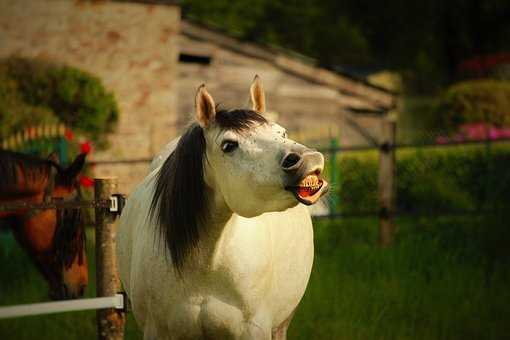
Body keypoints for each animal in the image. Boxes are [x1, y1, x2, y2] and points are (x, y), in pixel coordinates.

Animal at [117, 77, 328, 340]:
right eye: (229, 145)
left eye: (282, 132)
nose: (310, 159)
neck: (206, 264)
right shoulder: (156, 330)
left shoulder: (254, 330)